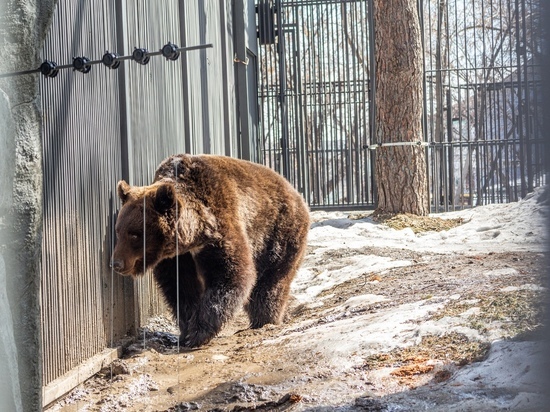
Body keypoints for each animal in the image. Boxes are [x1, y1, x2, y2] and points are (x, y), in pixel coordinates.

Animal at [110, 154, 312, 348]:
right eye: (118, 231)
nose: (116, 263)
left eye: (135, 234)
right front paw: (186, 331)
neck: (191, 237)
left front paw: (198, 332)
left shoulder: (219, 227)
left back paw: (265, 320)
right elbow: (181, 288)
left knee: (270, 283)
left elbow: (230, 274)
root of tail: (296, 192)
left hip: (278, 234)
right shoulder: (178, 259)